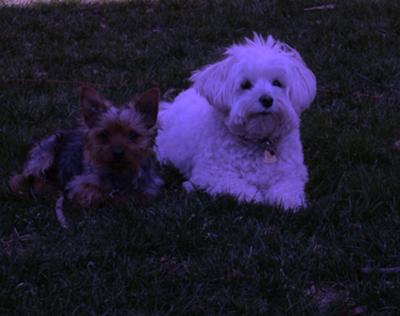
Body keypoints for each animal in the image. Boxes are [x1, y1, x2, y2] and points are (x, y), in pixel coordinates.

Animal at [155, 34, 316, 210]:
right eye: (245, 85)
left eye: (277, 83)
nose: (267, 99)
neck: (259, 139)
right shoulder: (211, 174)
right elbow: (239, 187)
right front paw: (255, 197)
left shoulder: (293, 172)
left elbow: (288, 188)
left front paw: (288, 202)